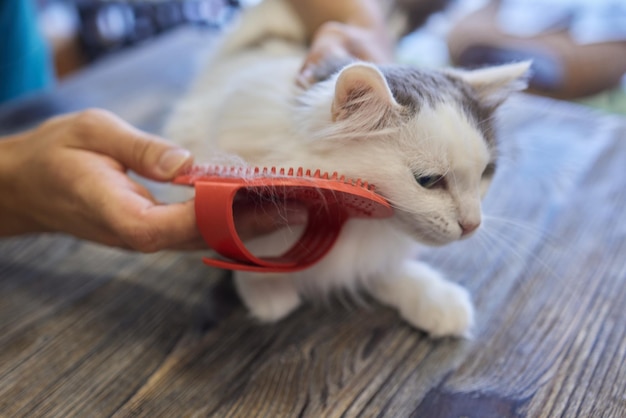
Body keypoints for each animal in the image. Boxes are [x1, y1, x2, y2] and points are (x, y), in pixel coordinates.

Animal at [166, 0, 528, 336]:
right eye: (427, 180)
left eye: (486, 174)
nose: (472, 225)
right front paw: (266, 291)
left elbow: (383, 268)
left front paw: (436, 300)